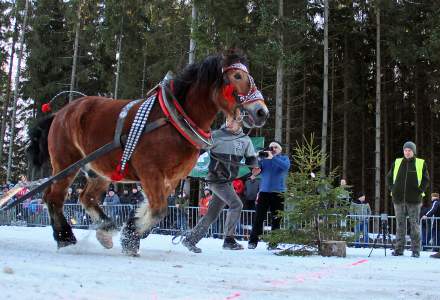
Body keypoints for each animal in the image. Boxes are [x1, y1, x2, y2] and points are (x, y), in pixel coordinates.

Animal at [29, 51, 268, 255]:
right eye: (237, 75)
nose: (262, 112)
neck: (174, 120)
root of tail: (61, 112)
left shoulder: (172, 178)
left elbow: (154, 209)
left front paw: (131, 233)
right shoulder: (150, 171)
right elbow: (159, 209)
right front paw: (131, 237)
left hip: (100, 170)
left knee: (85, 197)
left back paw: (105, 229)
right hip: (66, 163)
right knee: (53, 197)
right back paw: (65, 238)